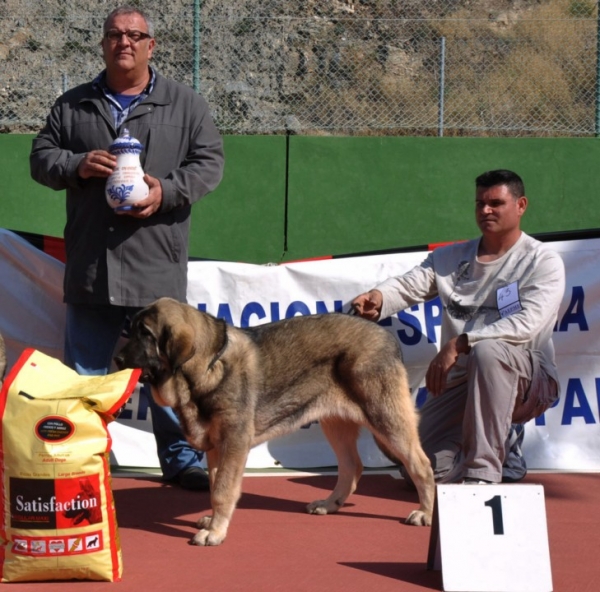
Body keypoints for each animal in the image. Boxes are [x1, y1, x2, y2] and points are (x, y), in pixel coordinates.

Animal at [115, 298, 434, 548]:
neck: (207, 365)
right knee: (351, 467)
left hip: (386, 418)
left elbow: (223, 490)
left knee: (421, 465)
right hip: (337, 422)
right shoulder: (217, 446)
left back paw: (426, 513)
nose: (116, 358)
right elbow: (215, 485)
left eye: (145, 333)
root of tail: (387, 337)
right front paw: (214, 522)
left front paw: (216, 532)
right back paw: (329, 504)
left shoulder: (234, 442)